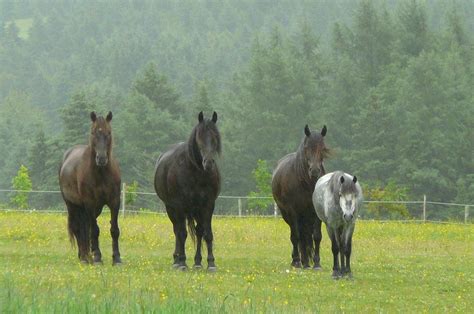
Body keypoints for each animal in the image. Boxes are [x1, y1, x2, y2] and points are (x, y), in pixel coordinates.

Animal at [58, 111, 122, 264]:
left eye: (109, 133)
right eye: (93, 133)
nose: (102, 159)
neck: (101, 173)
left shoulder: (114, 202)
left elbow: (114, 230)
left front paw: (117, 258)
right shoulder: (90, 203)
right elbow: (95, 230)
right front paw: (98, 257)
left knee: (85, 228)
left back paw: (87, 254)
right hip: (73, 205)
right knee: (78, 228)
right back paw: (84, 257)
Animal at [156, 111, 222, 272]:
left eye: (215, 137)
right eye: (199, 137)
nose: (208, 163)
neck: (196, 172)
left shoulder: (208, 205)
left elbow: (206, 233)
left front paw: (209, 263)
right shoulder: (180, 206)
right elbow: (182, 233)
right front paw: (182, 262)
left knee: (197, 231)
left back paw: (196, 262)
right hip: (171, 208)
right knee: (177, 230)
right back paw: (176, 260)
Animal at [270, 125, 330, 270]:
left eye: (323, 148)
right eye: (307, 148)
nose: (315, 171)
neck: (307, 184)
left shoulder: (315, 212)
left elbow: (317, 236)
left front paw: (317, 263)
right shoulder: (293, 212)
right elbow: (295, 236)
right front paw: (297, 261)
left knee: (305, 236)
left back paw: (306, 262)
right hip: (287, 215)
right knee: (297, 235)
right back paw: (299, 260)